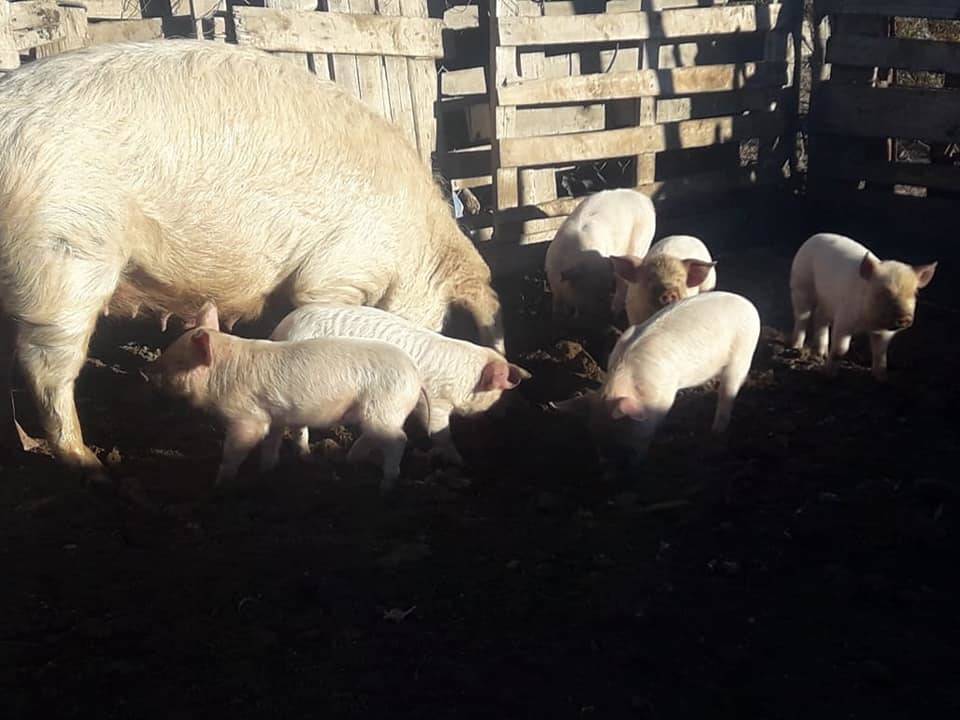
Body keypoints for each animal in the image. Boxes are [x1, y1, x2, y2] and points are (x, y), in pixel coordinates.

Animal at [145, 317, 426, 493]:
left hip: (384, 408)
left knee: (398, 439)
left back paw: (385, 486)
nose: (146, 372)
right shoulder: (276, 416)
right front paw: (267, 471)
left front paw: (218, 484)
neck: (222, 374)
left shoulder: (247, 416)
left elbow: (236, 448)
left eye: (180, 362)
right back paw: (349, 459)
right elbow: (271, 444)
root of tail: (414, 372)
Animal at [270, 304, 532, 466]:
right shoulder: (435, 402)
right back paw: (306, 455)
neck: (463, 378)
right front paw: (461, 461)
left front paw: (352, 458)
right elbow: (439, 432)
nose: (511, 412)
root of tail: (281, 330)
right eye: (499, 392)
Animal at [544, 189, 656, 328]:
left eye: (606, 290)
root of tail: (646, 200)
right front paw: (557, 319)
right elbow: (558, 305)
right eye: (584, 288)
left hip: (641, 244)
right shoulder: (553, 280)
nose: (601, 319)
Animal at [553, 292, 760, 465]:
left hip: (742, 354)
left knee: (728, 391)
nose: (607, 472)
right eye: (593, 434)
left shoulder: (663, 397)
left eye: (622, 428)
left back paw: (716, 431)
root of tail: (749, 306)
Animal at [789, 233, 937, 380]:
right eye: (884, 292)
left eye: (914, 293)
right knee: (802, 317)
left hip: (826, 301)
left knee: (820, 318)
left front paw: (882, 378)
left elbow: (880, 354)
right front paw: (828, 376)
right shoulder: (844, 319)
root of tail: (815, 236)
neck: (869, 323)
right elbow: (840, 350)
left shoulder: (885, 333)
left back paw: (822, 354)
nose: (905, 317)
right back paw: (796, 347)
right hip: (801, 285)